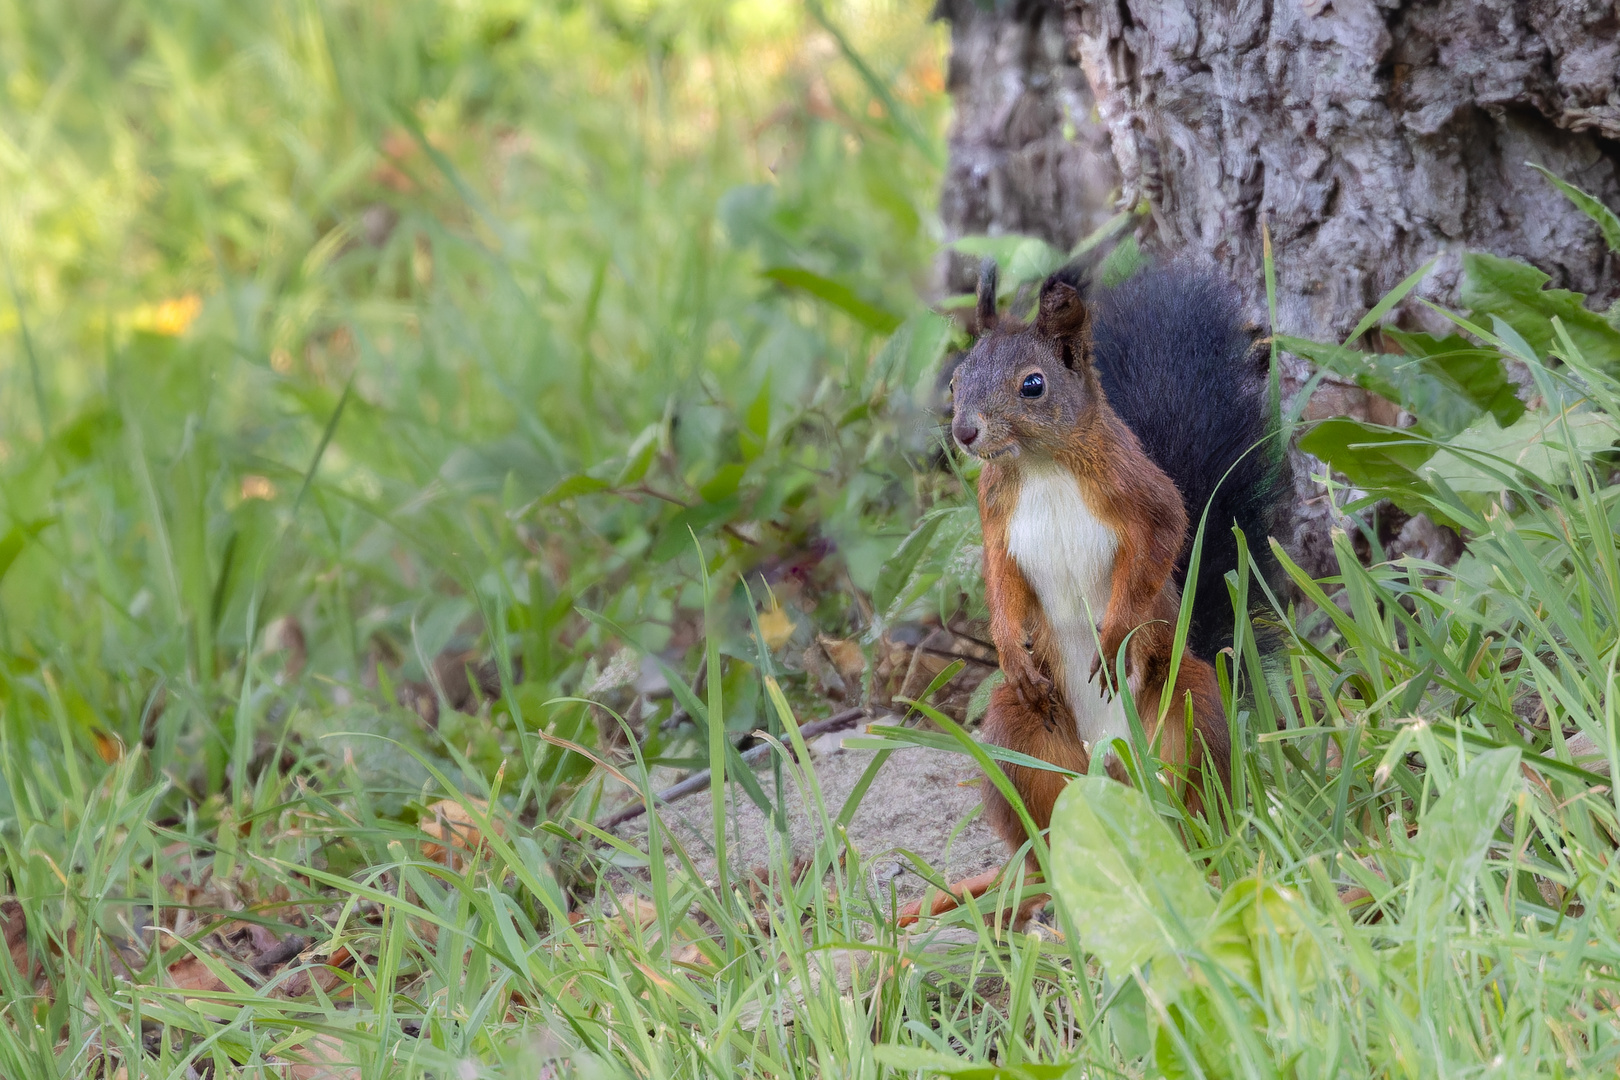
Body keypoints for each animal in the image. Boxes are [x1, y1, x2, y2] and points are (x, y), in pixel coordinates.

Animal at [900, 263, 1276, 932]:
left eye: (1033, 385)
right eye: (957, 379)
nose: (964, 432)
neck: (1041, 465)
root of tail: (1108, 763)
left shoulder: (1145, 494)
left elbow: (1161, 545)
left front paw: (1113, 635)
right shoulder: (994, 519)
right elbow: (1000, 583)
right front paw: (1009, 647)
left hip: (1190, 704)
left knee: (1193, 792)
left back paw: (1196, 855)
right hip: (1021, 740)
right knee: (1047, 828)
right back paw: (1053, 889)